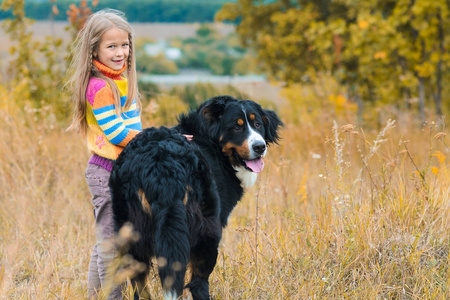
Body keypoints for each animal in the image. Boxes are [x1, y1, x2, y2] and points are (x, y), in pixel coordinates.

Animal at [110, 96, 282, 300]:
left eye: (257, 124)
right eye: (236, 127)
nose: (259, 147)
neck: (212, 143)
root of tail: (161, 164)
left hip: (130, 231)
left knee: (140, 285)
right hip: (207, 231)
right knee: (198, 282)